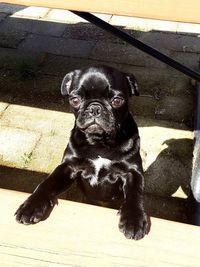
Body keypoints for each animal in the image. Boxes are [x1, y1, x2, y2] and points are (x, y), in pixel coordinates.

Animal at [15, 66, 149, 241]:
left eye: (117, 100)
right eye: (75, 100)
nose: (95, 108)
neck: (99, 141)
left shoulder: (132, 172)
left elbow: (135, 194)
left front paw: (134, 219)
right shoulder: (68, 167)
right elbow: (47, 183)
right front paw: (31, 205)